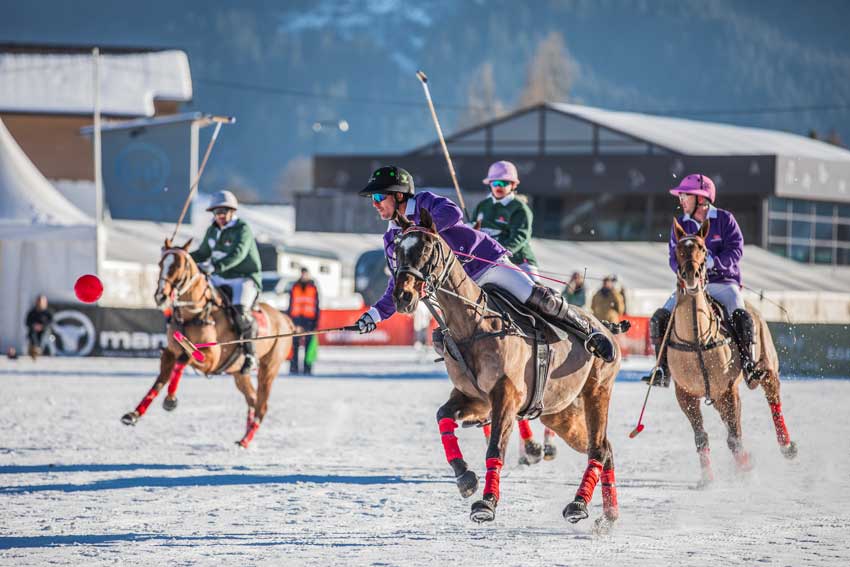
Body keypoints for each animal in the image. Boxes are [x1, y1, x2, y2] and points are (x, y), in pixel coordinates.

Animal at [117, 240, 294, 448]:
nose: (161, 296)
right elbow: (160, 380)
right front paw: (134, 414)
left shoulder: (210, 359)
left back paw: (245, 441)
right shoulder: (169, 352)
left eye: (178, 265)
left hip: (269, 368)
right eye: (160, 263)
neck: (194, 315)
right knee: (252, 400)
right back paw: (244, 438)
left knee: (262, 405)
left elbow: (184, 359)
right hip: (239, 374)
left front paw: (170, 400)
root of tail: (284, 318)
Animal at [394, 211, 620, 532]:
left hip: (597, 391)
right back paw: (609, 515)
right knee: (604, 446)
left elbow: (495, 448)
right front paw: (465, 476)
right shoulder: (474, 397)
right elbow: (442, 416)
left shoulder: (505, 394)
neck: (473, 325)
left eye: (427, 249)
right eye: (396, 250)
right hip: (560, 413)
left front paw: (486, 504)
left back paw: (578, 505)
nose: (402, 296)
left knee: (598, 448)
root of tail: (605, 325)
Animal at [668, 220, 796, 486]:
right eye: (677, 250)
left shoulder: (729, 389)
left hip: (766, 367)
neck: (697, 339)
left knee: (773, 398)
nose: (691, 275)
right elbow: (701, 437)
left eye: (703, 248)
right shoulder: (685, 394)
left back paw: (787, 446)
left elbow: (734, 437)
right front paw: (707, 478)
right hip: (716, 397)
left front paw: (746, 467)